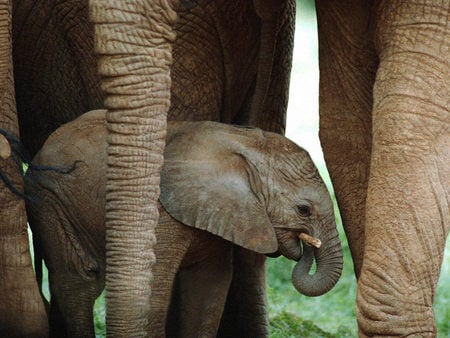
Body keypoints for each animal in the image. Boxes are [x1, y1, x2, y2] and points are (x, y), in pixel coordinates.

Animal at [25, 109, 342, 336]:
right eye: (303, 210)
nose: (308, 246)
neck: (246, 147)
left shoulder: (222, 212)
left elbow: (209, 286)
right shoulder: (159, 211)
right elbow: (155, 283)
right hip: (49, 198)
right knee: (79, 282)